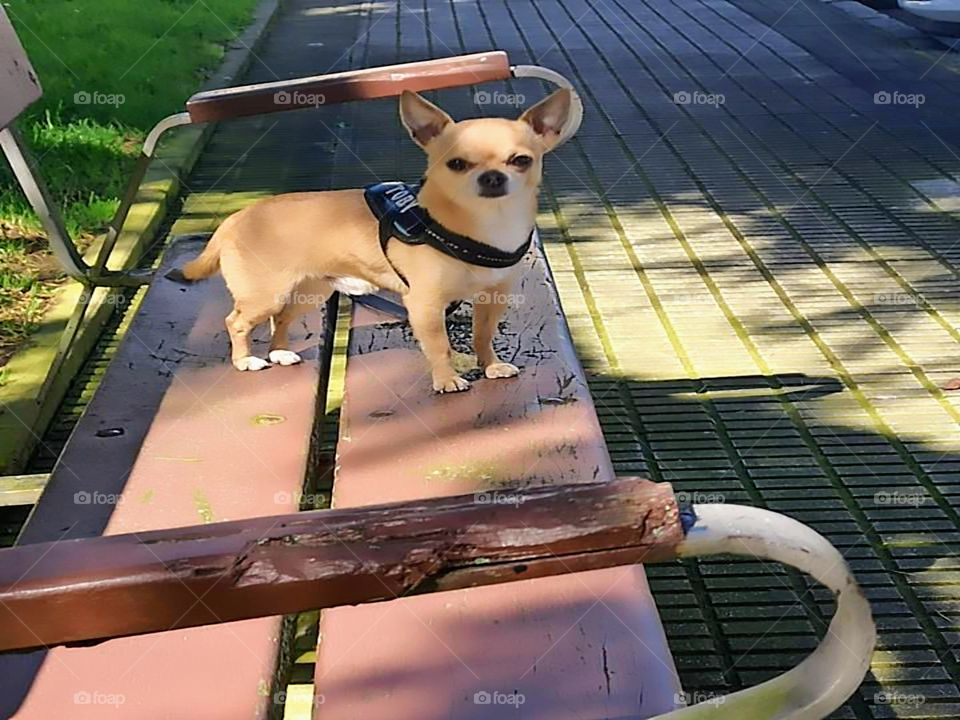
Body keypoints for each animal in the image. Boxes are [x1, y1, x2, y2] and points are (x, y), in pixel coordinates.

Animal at [180, 91, 568, 394]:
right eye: (456, 164)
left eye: (521, 160)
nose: (492, 177)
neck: (487, 224)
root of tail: (236, 218)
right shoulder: (425, 305)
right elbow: (439, 345)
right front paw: (446, 380)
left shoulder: (493, 297)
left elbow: (481, 336)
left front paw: (490, 365)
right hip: (265, 294)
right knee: (237, 322)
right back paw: (245, 360)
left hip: (310, 291)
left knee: (282, 318)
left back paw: (279, 352)